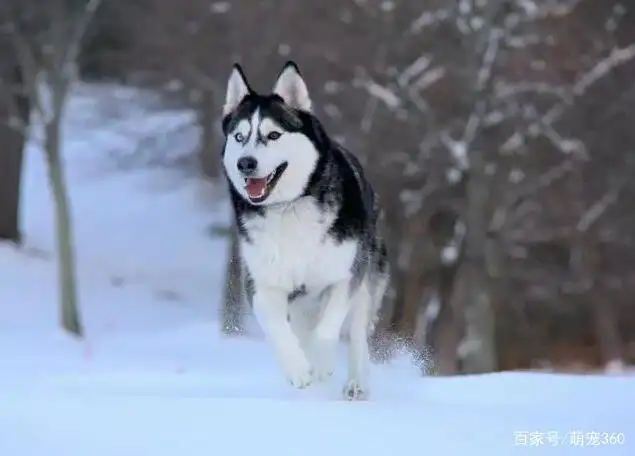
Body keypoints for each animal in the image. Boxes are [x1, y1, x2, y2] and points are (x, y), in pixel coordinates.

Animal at [221, 60, 390, 400]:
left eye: (273, 134)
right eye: (239, 136)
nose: (246, 163)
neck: (288, 208)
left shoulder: (346, 276)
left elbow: (328, 328)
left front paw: (321, 361)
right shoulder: (262, 284)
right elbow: (279, 330)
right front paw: (299, 369)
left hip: (368, 276)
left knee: (357, 333)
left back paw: (356, 382)